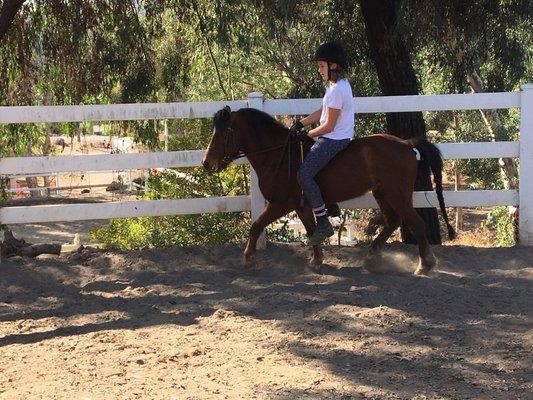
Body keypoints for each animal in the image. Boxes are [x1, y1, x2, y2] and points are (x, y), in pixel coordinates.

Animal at [201, 106, 454, 276]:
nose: (206, 163)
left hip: (397, 194)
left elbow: (256, 226)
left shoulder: (280, 203)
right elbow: (312, 229)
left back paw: (424, 265)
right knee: (393, 221)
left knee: (416, 223)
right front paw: (316, 260)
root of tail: (406, 144)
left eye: (223, 133)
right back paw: (372, 257)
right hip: (382, 193)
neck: (277, 155)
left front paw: (248, 260)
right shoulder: (301, 205)